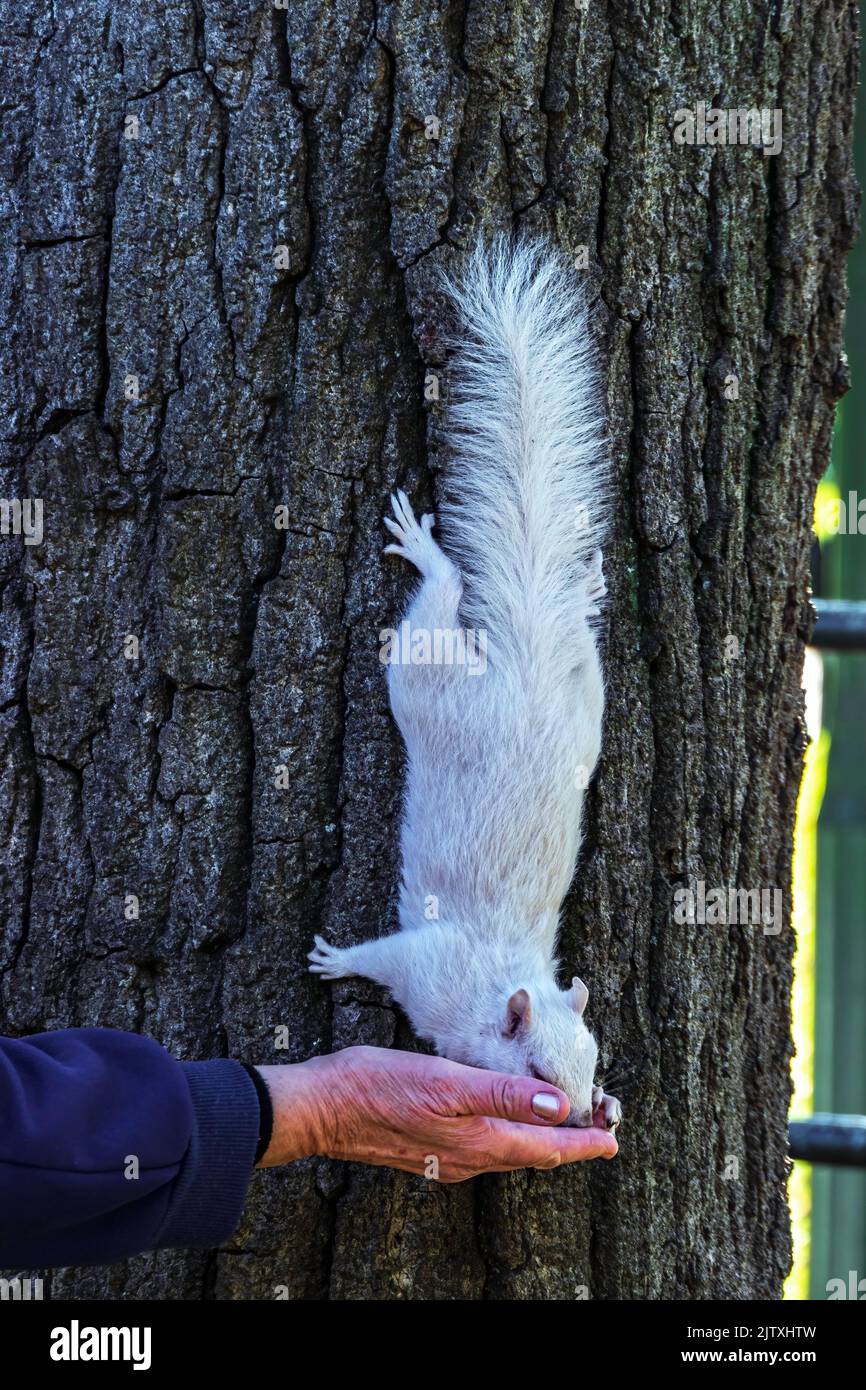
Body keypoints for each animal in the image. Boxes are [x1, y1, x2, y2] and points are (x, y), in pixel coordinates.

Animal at [311, 239, 622, 1128]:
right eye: (539, 1070)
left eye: (594, 1059)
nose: (584, 1111)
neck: (499, 984)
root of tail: (524, 669)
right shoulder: (429, 970)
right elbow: (385, 957)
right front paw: (336, 957)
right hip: (425, 677)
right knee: (442, 598)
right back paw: (430, 553)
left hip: (586, 700)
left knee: (577, 634)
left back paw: (582, 591)